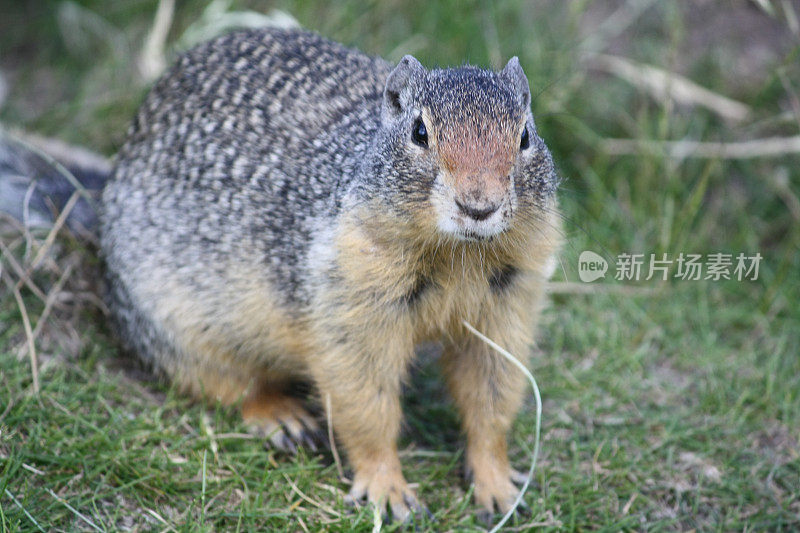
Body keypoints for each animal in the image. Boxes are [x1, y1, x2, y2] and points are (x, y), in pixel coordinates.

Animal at [0, 28, 564, 520]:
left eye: (525, 135)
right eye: (420, 133)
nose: (479, 205)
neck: (457, 255)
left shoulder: (508, 304)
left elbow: (492, 395)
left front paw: (498, 485)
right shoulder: (352, 305)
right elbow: (367, 403)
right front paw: (388, 490)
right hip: (179, 325)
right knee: (225, 384)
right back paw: (282, 417)